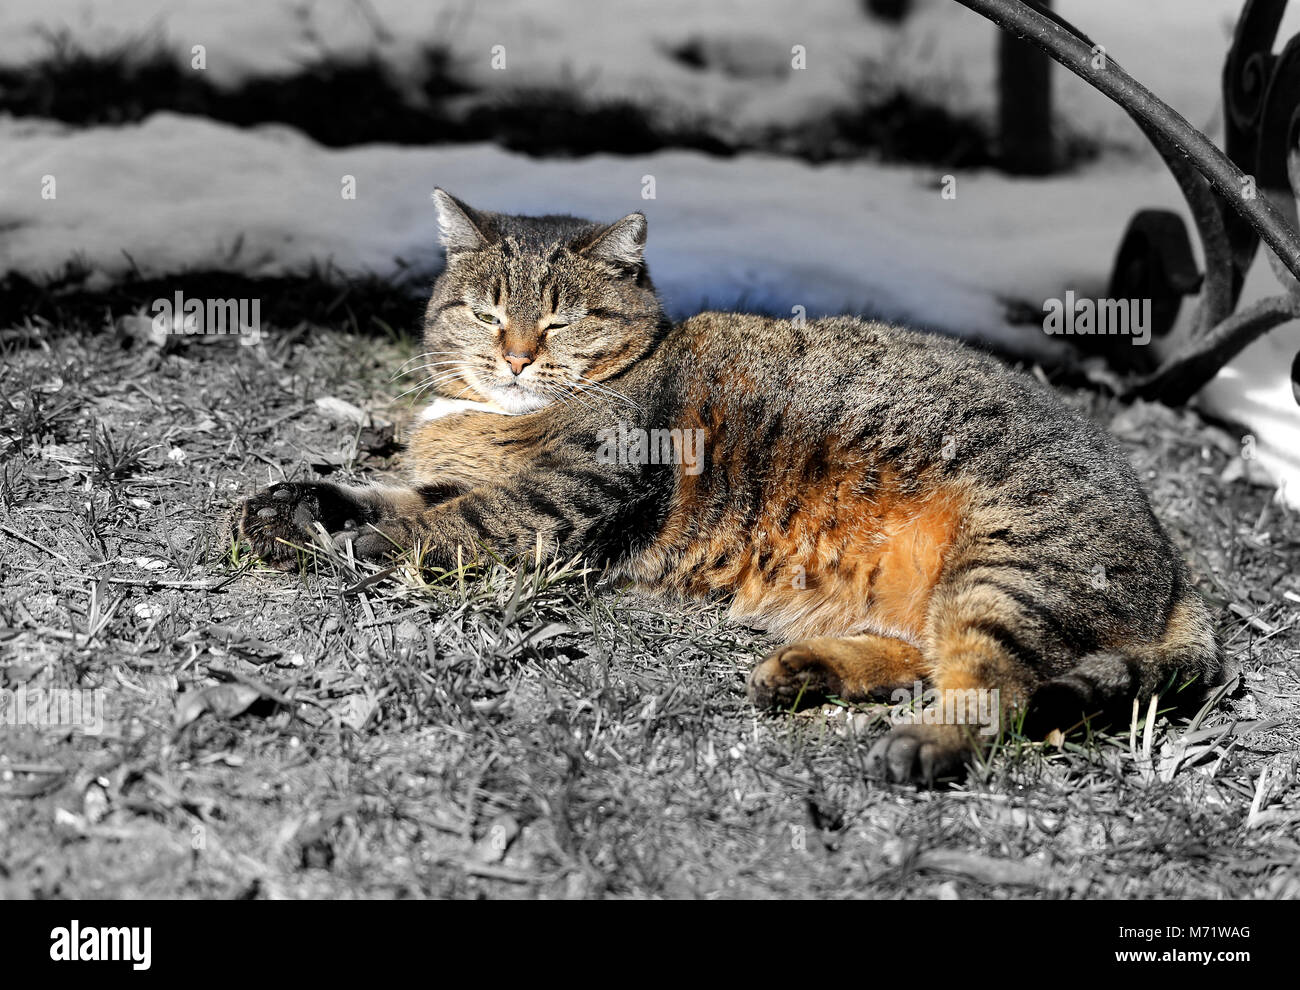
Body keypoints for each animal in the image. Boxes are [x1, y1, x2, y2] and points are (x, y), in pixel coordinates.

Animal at [239, 188, 1222, 784]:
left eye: (560, 320)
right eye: (487, 314)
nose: (516, 355)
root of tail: (1175, 563)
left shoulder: (571, 494)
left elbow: (452, 523)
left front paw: (364, 541)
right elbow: (387, 495)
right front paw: (300, 507)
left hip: (1009, 569)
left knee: (996, 693)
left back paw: (917, 743)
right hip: (941, 596)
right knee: (923, 658)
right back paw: (804, 671)